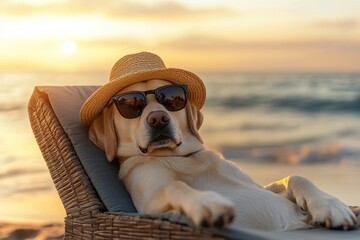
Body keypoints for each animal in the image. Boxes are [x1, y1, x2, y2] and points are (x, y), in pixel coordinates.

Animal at [86, 79, 358, 232]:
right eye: (130, 104)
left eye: (172, 99)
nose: (158, 119)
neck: (181, 158)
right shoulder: (148, 203)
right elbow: (176, 186)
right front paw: (206, 202)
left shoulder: (261, 187)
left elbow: (297, 177)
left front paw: (330, 205)